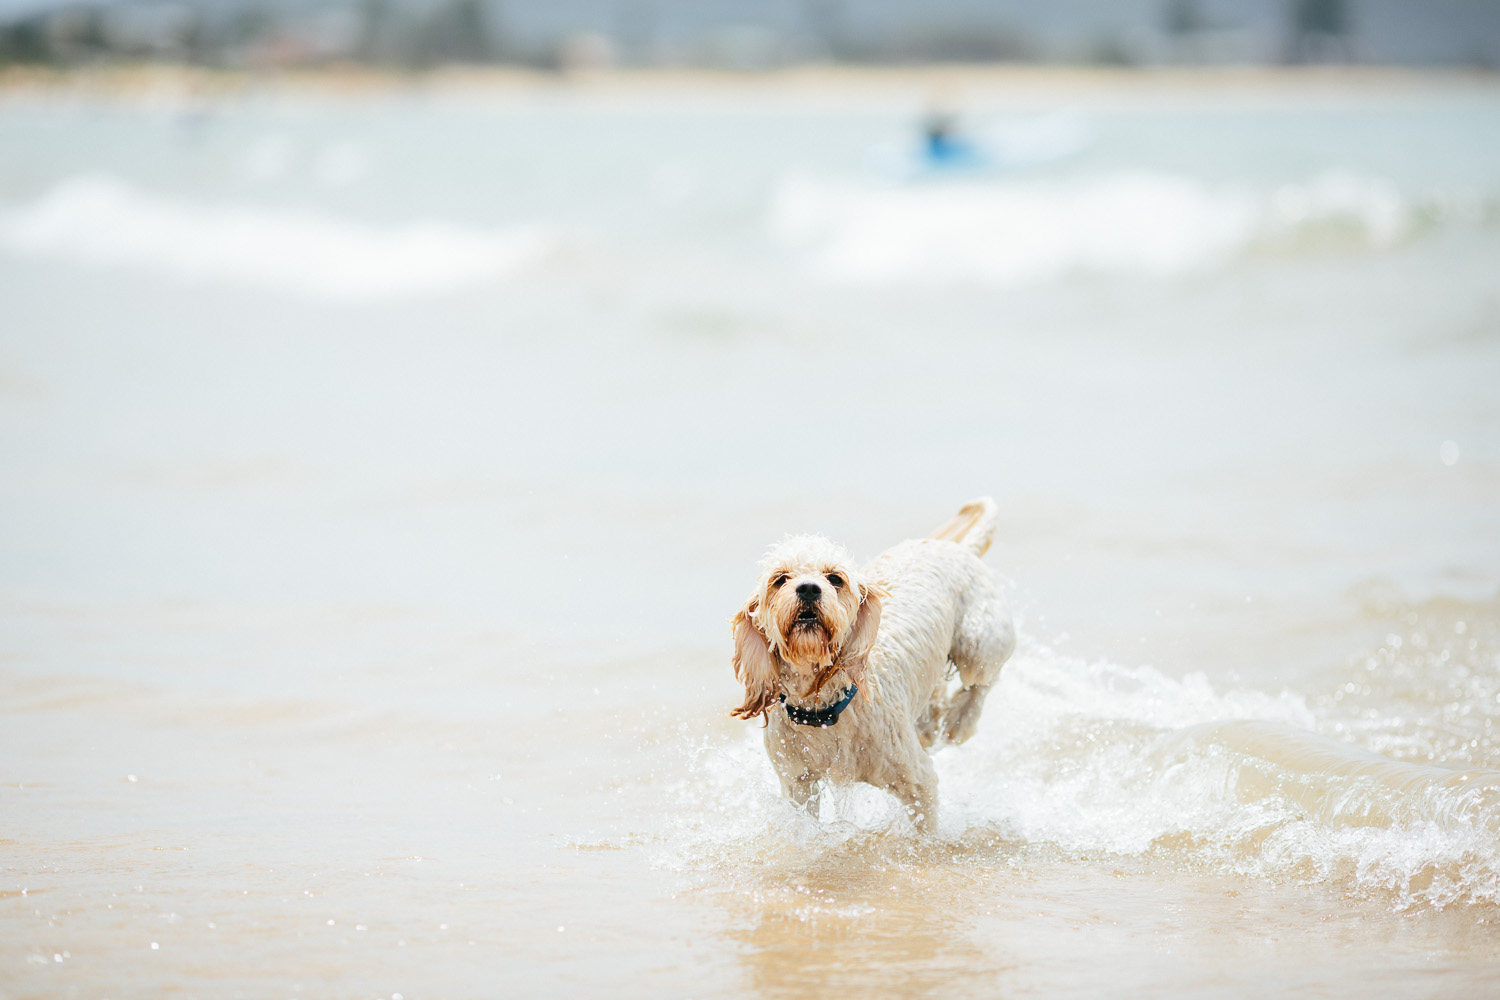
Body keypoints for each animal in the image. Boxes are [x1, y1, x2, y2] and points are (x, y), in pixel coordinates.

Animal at [729, 497, 1014, 833]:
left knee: (982, 677)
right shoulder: (798, 784)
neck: (824, 705)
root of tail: (957, 548)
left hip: (979, 640)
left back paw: (961, 719)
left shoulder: (918, 781)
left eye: (835, 578)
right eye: (780, 579)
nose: (809, 588)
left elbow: (926, 826)